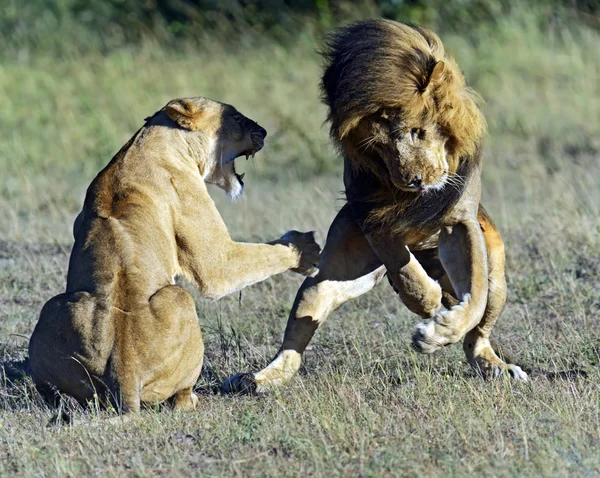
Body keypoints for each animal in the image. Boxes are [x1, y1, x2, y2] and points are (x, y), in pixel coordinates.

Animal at [28, 96, 322, 410]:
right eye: (236, 117)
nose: (264, 132)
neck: (149, 141)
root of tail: (124, 372)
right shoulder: (212, 255)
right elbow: (248, 260)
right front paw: (305, 249)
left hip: (54, 307)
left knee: (51, 392)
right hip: (180, 298)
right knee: (179, 397)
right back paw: (191, 398)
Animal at [223, 18, 528, 394]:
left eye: (417, 131)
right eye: (378, 148)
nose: (413, 180)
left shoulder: (460, 221)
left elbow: (475, 297)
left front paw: (435, 333)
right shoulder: (371, 216)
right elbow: (404, 268)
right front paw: (427, 303)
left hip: (498, 277)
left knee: (479, 330)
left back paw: (493, 365)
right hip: (329, 276)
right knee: (298, 333)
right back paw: (256, 379)